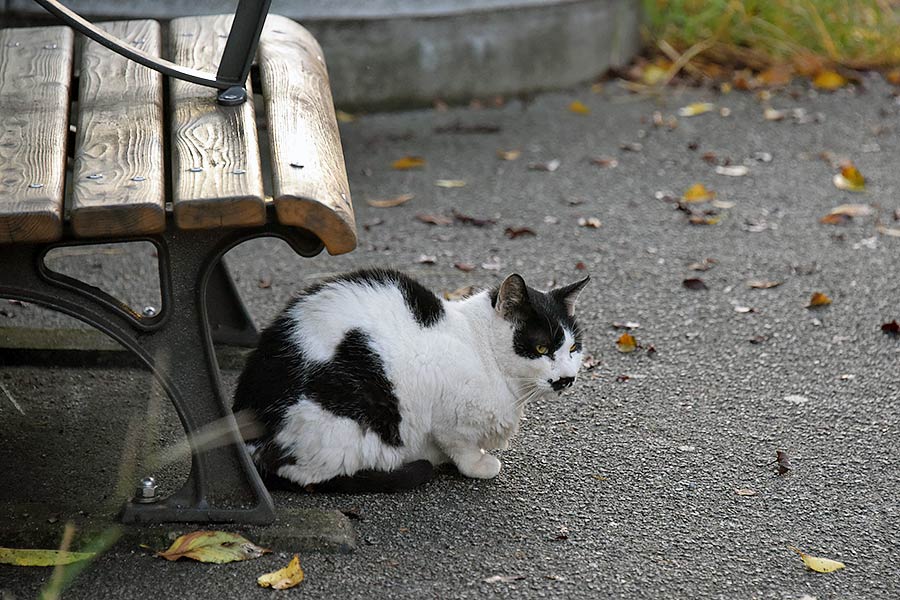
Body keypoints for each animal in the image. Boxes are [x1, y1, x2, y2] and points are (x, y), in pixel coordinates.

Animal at [232, 268, 592, 492]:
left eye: (573, 348)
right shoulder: (448, 413)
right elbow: (459, 445)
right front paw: (478, 464)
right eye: (541, 348)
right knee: (306, 476)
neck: (482, 349)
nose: (567, 378)